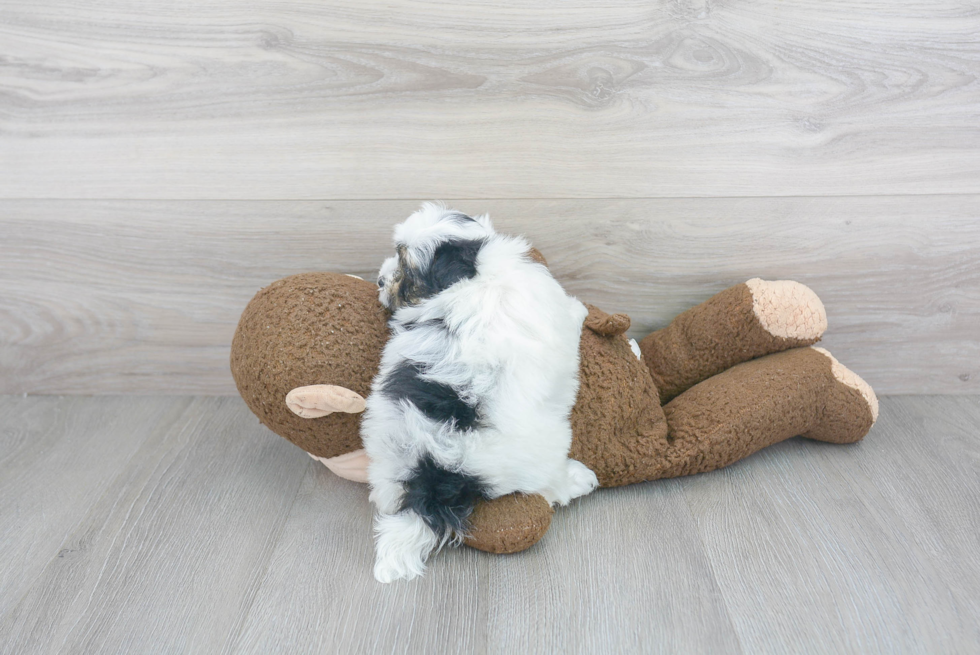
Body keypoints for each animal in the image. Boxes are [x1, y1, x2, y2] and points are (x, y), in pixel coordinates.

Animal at [364, 202, 596, 580]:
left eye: (405, 272)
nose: (381, 280)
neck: (475, 272)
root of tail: (437, 469)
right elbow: (569, 313)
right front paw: (580, 309)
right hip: (544, 449)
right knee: (548, 485)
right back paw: (579, 479)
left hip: (385, 451)